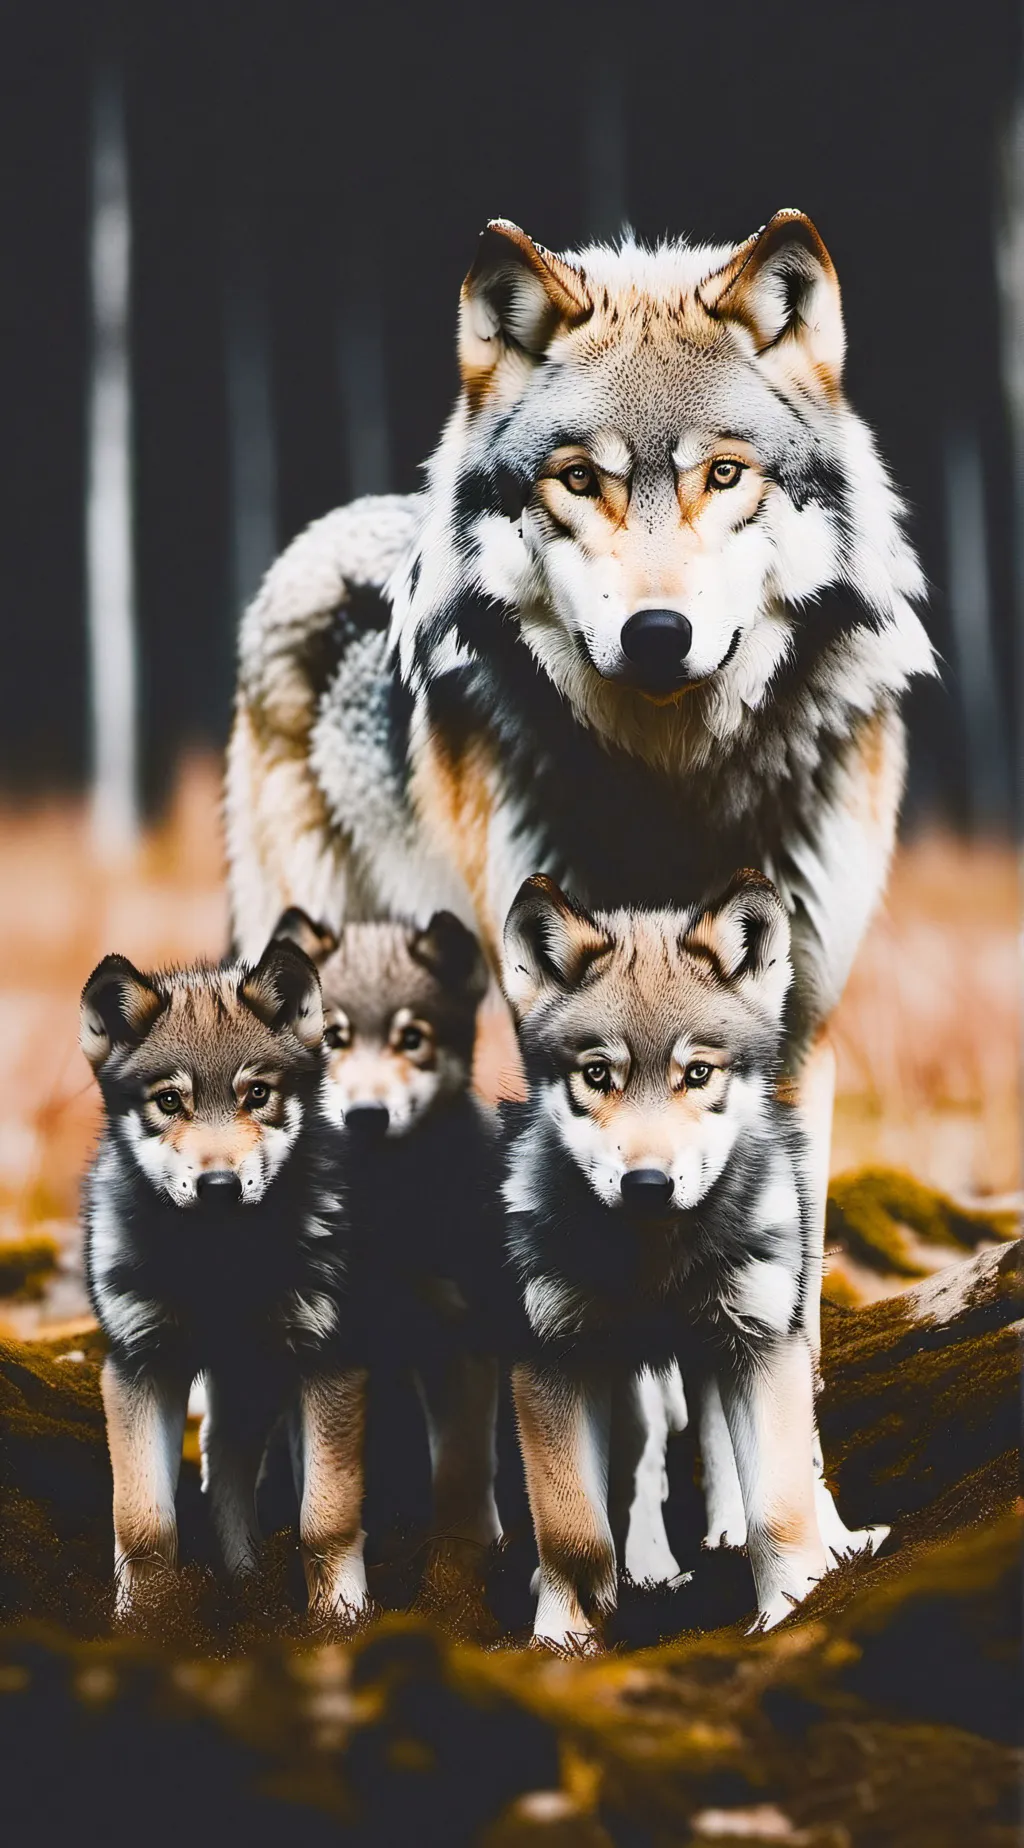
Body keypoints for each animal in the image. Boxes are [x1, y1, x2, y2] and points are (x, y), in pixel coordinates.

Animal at [80, 939, 370, 1620]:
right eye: (168, 1102)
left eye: (257, 1094)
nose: (219, 1185)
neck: (219, 1264)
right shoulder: (140, 1365)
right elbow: (144, 1522)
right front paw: (146, 1621)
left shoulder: (330, 1363)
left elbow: (325, 1520)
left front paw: (341, 1621)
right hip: (245, 1383)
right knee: (223, 1464)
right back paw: (242, 1581)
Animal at [270, 905, 504, 1565]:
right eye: (334, 1036)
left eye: (412, 1039)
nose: (367, 1116)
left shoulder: (460, 1336)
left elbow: (460, 1471)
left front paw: (464, 1557)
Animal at [499, 870, 885, 1649]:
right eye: (598, 1075)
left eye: (698, 1072)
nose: (648, 1183)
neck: (656, 1266)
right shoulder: (553, 1359)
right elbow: (573, 1530)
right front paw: (562, 1637)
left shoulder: (761, 1344)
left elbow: (779, 1506)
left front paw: (794, 1607)